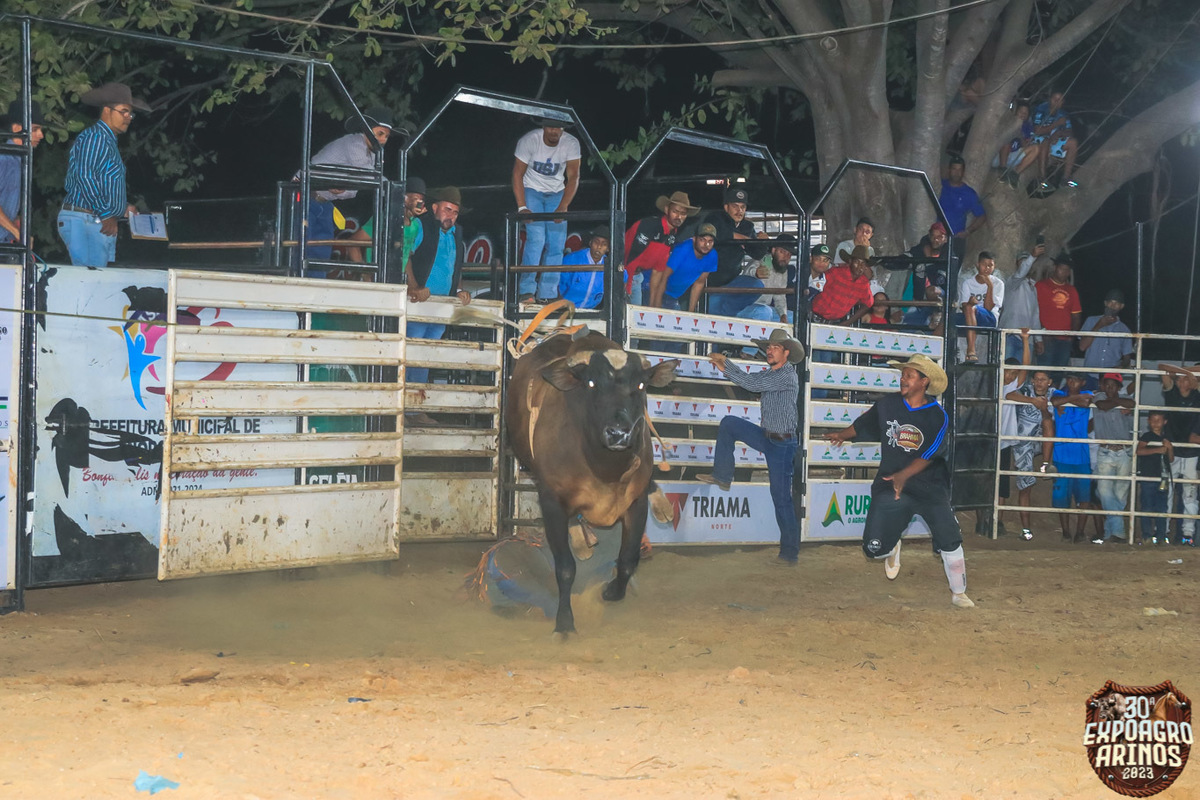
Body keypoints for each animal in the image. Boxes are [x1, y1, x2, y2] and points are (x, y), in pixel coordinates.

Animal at [506, 330, 678, 635]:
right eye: (591, 383)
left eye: (641, 385)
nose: (619, 433)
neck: (604, 466)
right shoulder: (552, 501)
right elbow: (565, 568)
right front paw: (564, 621)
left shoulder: (635, 502)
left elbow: (628, 558)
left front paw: (613, 592)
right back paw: (579, 537)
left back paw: (661, 504)